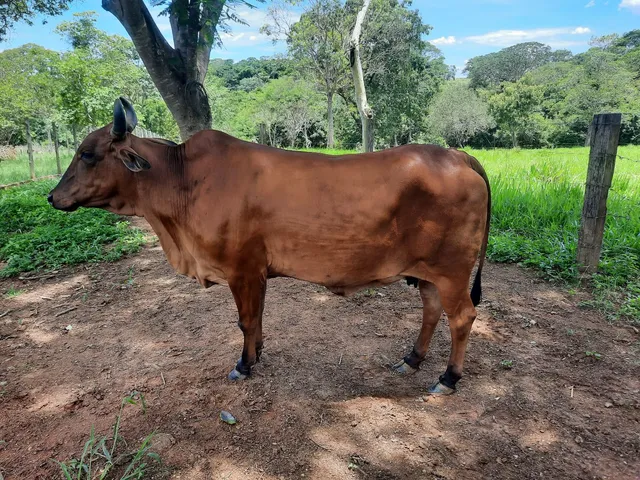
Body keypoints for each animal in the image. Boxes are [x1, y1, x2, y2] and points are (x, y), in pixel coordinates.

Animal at [48, 97, 491, 395]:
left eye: (87, 154)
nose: (53, 197)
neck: (181, 181)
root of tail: (457, 154)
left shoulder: (241, 269)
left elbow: (245, 320)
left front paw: (244, 365)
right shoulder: (256, 273)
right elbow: (257, 319)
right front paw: (257, 353)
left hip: (452, 272)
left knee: (462, 318)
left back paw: (447, 378)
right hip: (427, 272)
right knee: (431, 311)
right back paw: (411, 360)